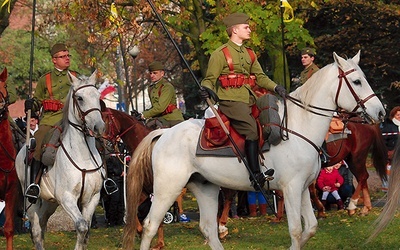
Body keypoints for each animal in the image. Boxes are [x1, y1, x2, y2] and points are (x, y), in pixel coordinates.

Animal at [16, 71, 105, 250]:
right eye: (79, 98)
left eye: (98, 96)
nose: (99, 127)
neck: (83, 155)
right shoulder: (67, 197)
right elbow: (82, 226)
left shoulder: (92, 198)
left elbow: (86, 231)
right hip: (32, 202)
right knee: (36, 231)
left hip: (49, 203)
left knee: (42, 226)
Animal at [123, 51, 386, 249]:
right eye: (357, 81)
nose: (381, 112)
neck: (299, 125)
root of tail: (164, 134)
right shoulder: (291, 188)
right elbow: (295, 229)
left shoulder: (302, 188)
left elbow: (309, 228)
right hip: (167, 189)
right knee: (150, 226)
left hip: (205, 188)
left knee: (208, 228)